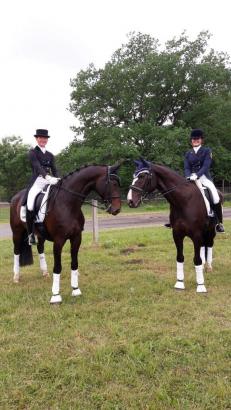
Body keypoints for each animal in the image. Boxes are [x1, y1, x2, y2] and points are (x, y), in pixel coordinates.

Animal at [10, 163, 121, 302]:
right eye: (112, 183)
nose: (117, 209)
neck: (68, 203)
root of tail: (16, 197)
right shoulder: (59, 241)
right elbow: (58, 267)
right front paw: (55, 295)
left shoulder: (76, 238)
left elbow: (74, 263)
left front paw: (76, 289)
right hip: (17, 233)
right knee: (16, 252)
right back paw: (16, 277)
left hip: (40, 235)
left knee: (40, 249)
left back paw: (45, 273)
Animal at [126, 159, 218, 294]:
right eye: (134, 176)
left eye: (142, 176)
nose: (130, 201)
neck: (184, 201)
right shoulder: (177, 234)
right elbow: (180, 257)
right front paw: (179, 283)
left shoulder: (196, 234)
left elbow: (196, 259)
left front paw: (201, 286)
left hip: (211, 231)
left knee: (209, 245)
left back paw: (208, 267)